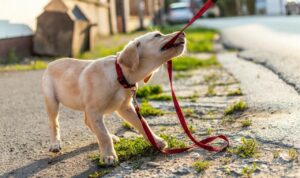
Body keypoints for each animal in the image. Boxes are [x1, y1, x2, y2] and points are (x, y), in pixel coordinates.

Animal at [42, 31, 186, 165]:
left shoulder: (125, 108)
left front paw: (156, 141)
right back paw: (55, 144)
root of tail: (50, 63)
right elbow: (103, 134)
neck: (119, 75)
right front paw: (108, 156)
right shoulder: (94, 110)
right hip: (52, 101)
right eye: (157, 35)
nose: (183, 33)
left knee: (88, 122)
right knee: (54, 123)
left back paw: (112, 136)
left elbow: (142, 123)